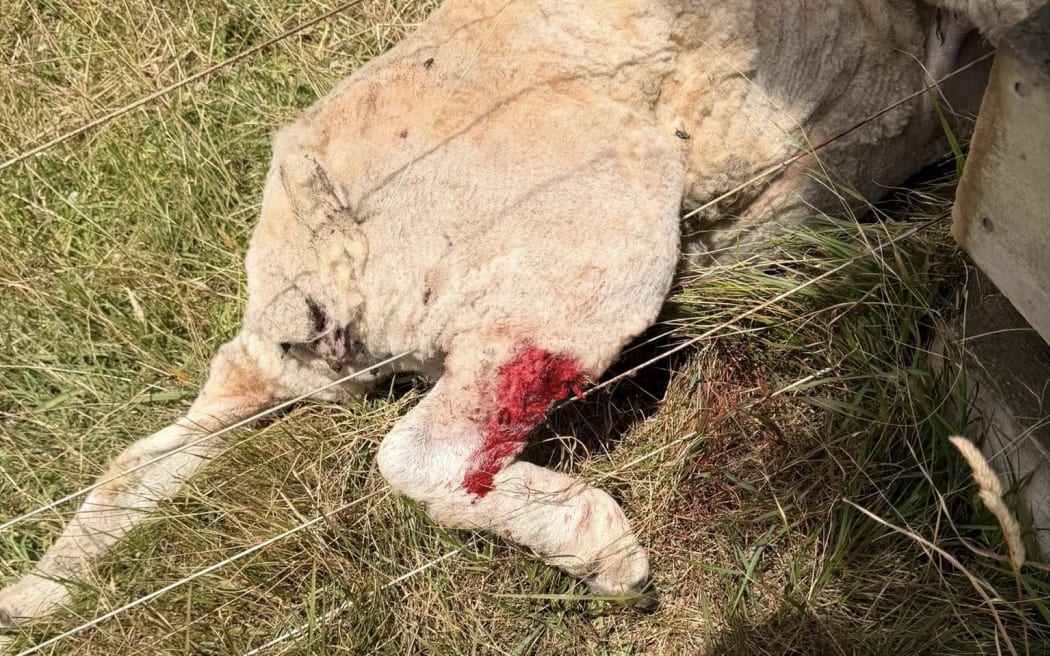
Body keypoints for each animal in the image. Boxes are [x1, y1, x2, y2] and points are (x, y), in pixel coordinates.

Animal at [0, 0, 1038, 629]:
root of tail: (313, 233)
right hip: (581, 232)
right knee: (428, 451)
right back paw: (597, 544)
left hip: (295, 357)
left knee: (146, 455)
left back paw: (40, 590)